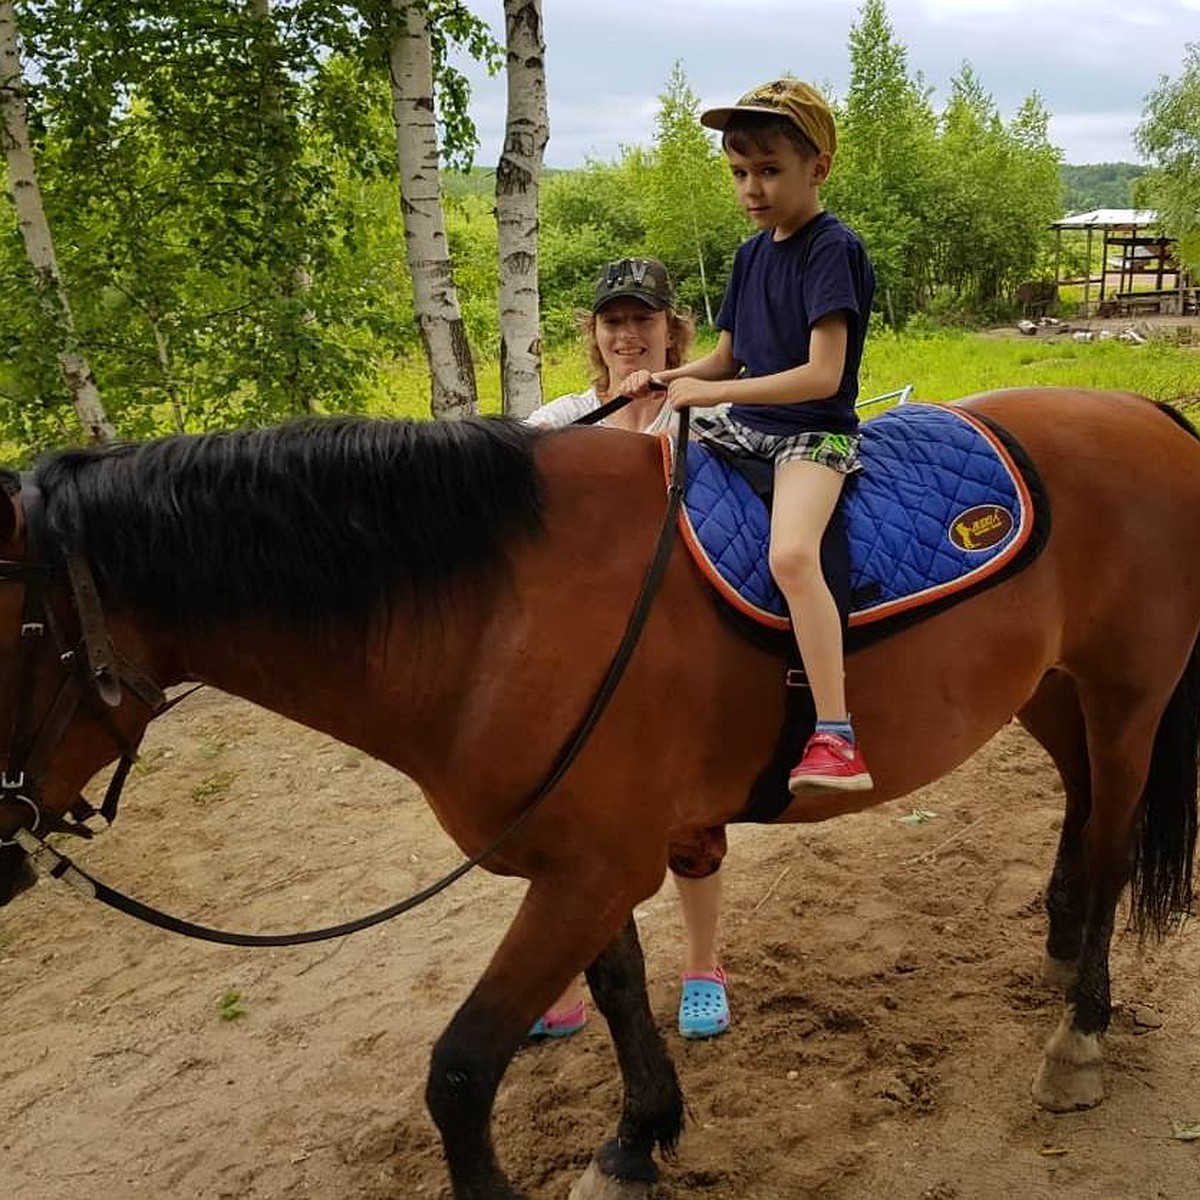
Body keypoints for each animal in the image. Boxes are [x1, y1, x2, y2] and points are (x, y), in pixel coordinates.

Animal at [2, 386, 1200, 1200]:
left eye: (4, 627)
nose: (6, 847)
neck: (495, 615)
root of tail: (1147, 414)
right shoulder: (585, 867)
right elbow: (621, 990)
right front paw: (638, 1139)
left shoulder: (587, 872)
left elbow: (459, 1072)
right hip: (1048, 690)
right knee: (1081, 805)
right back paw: (1058, 951)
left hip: (1127, 696)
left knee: (1113, 845)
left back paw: (1079, 1037)